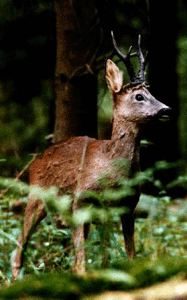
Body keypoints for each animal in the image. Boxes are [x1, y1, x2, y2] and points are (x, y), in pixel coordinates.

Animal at [11, 32, 171, 278]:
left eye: (151, 92)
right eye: (139, 96)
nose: (166, 109)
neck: (113, 170)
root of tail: (37, 159)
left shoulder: (126, 206)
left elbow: (122, 257)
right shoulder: (81, 201)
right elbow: (81, 264)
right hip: (37, 196)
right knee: (19, 249)